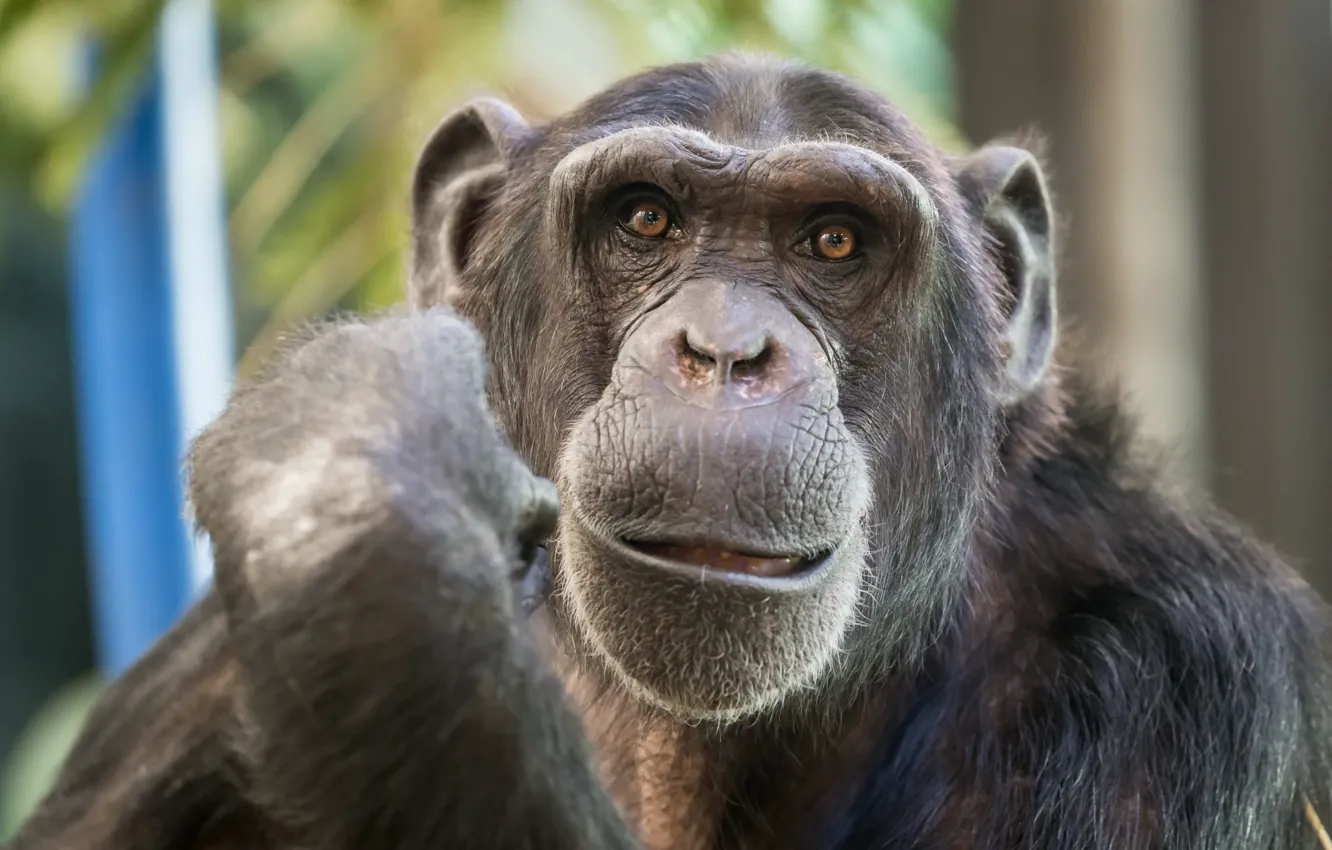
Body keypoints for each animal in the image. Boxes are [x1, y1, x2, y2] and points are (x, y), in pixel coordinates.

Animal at [6, 53, 1331, 850]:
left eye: (834, 241)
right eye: (644, 219)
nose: (726, 348)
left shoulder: (1175, 667)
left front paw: (358, 495)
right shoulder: (192, 687)